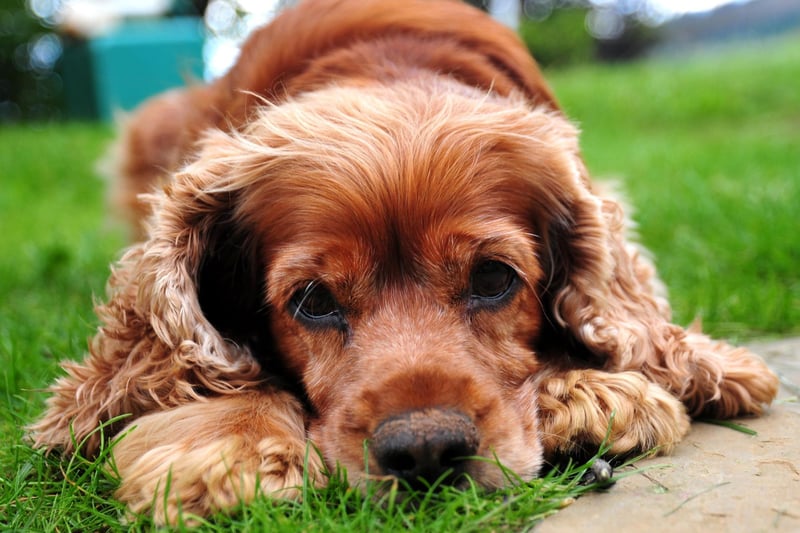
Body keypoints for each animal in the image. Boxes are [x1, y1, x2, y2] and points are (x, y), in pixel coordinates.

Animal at [32, 0, 780, 524]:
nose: (425, 450)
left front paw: (590, 389)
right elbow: (206, 363)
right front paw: (224, 447)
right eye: (312, 300)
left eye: (493, 278)